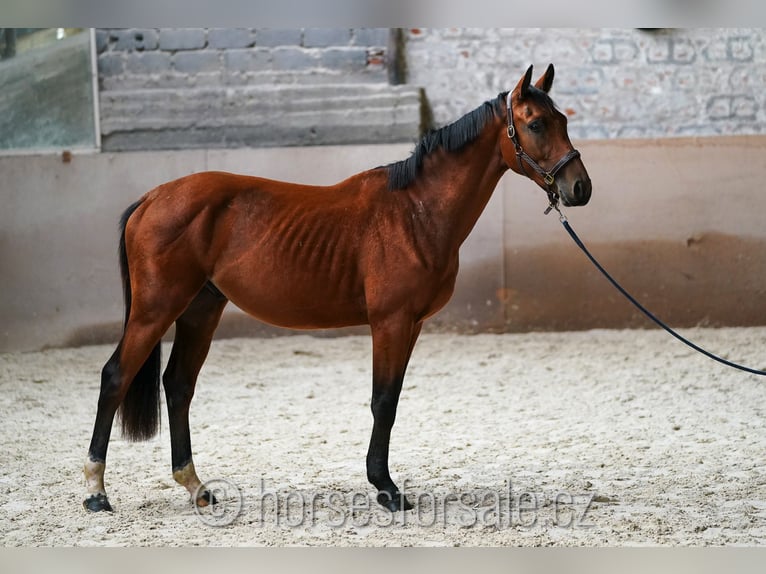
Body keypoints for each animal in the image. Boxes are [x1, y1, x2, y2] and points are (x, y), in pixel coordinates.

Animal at [82, 65, 592, 516]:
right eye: (535, 123)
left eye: (564, 120)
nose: (580, 187)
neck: (415, 210)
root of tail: (151, 198)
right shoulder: (390, 322)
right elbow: (382, 401)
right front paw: (386, 489)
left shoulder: (411, 325)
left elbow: (392, 398)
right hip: (156, 309)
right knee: (115, 376)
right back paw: (96, 492)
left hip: (201, 309)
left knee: (178, 385)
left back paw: (197, 488)